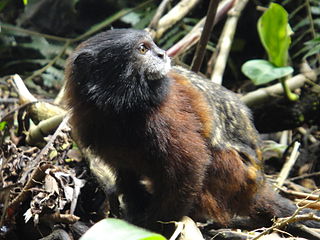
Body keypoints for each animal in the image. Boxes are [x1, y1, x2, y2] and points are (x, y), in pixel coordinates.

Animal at [63, 28, 318, 232]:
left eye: (152, 45)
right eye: (143, 49)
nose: (162, 53)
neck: (121, 111)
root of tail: (258, 184)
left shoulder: (169, 119)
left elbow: (189, 169)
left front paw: (155, 226)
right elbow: (126, 172)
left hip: (235, 174)